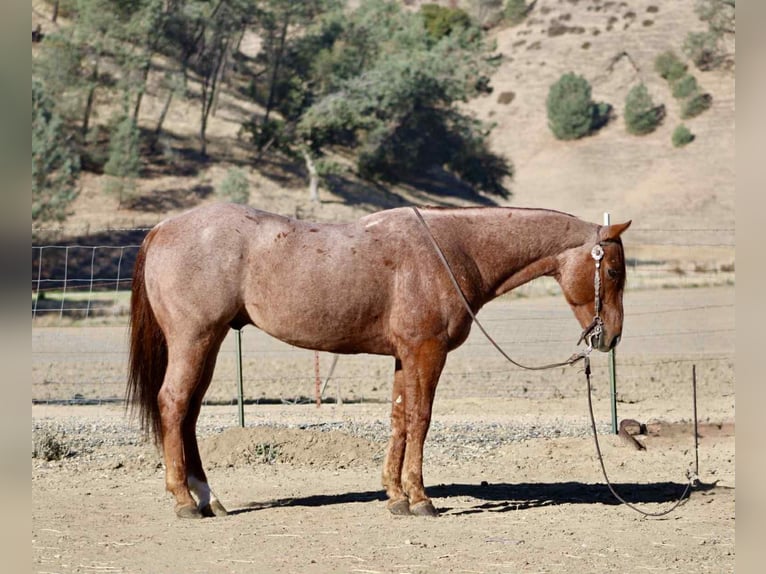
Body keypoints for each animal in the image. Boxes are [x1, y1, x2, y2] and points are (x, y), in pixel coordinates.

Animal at [127, 202, 630, 518]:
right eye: (613, 270)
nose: (611, 337)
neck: (452, 249)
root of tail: (163, 228)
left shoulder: (404, 356)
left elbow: (399, 419)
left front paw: (395, 495)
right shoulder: (426, 352)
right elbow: (421, 418)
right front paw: (421, 498)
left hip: (207, 344)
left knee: (189, 413)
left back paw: (207, 497)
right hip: (195, 339)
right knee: (174, 403)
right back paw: (184, 501)